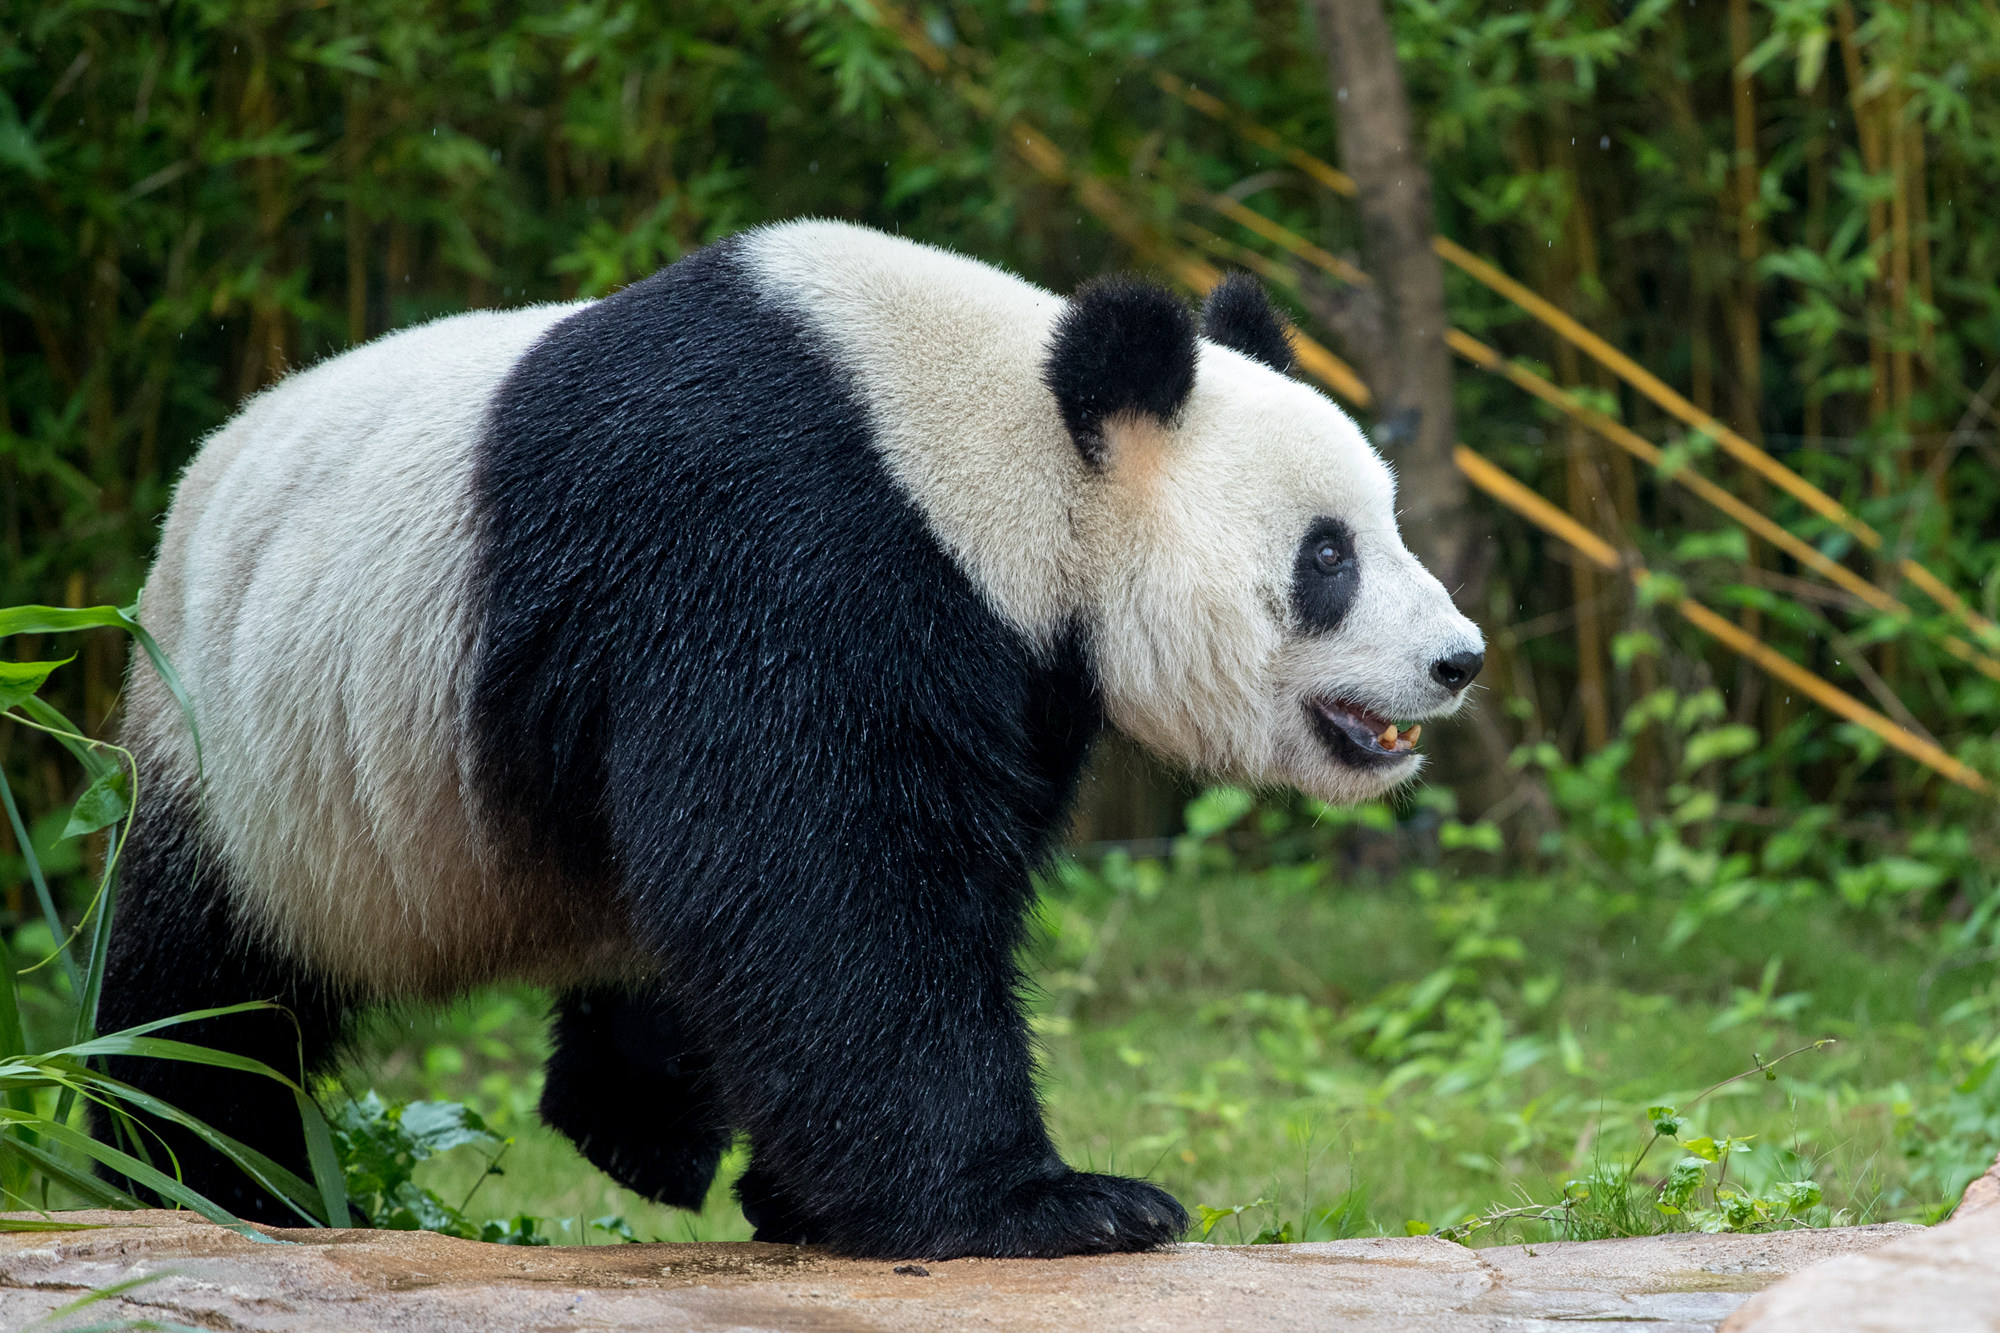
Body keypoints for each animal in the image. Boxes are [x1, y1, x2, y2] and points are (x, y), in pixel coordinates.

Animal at [105, 218, 1488, 1256]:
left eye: (1385, 523)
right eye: (1326, 556)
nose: (1456, 660)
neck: (989, 443)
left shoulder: (1014, 664)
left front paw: (807, 1197)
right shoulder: (771, 545)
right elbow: (833, 879)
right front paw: (1056, 1204)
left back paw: (636, 1124)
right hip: (243, 749)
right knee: (204, 992)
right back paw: (194, 1167)